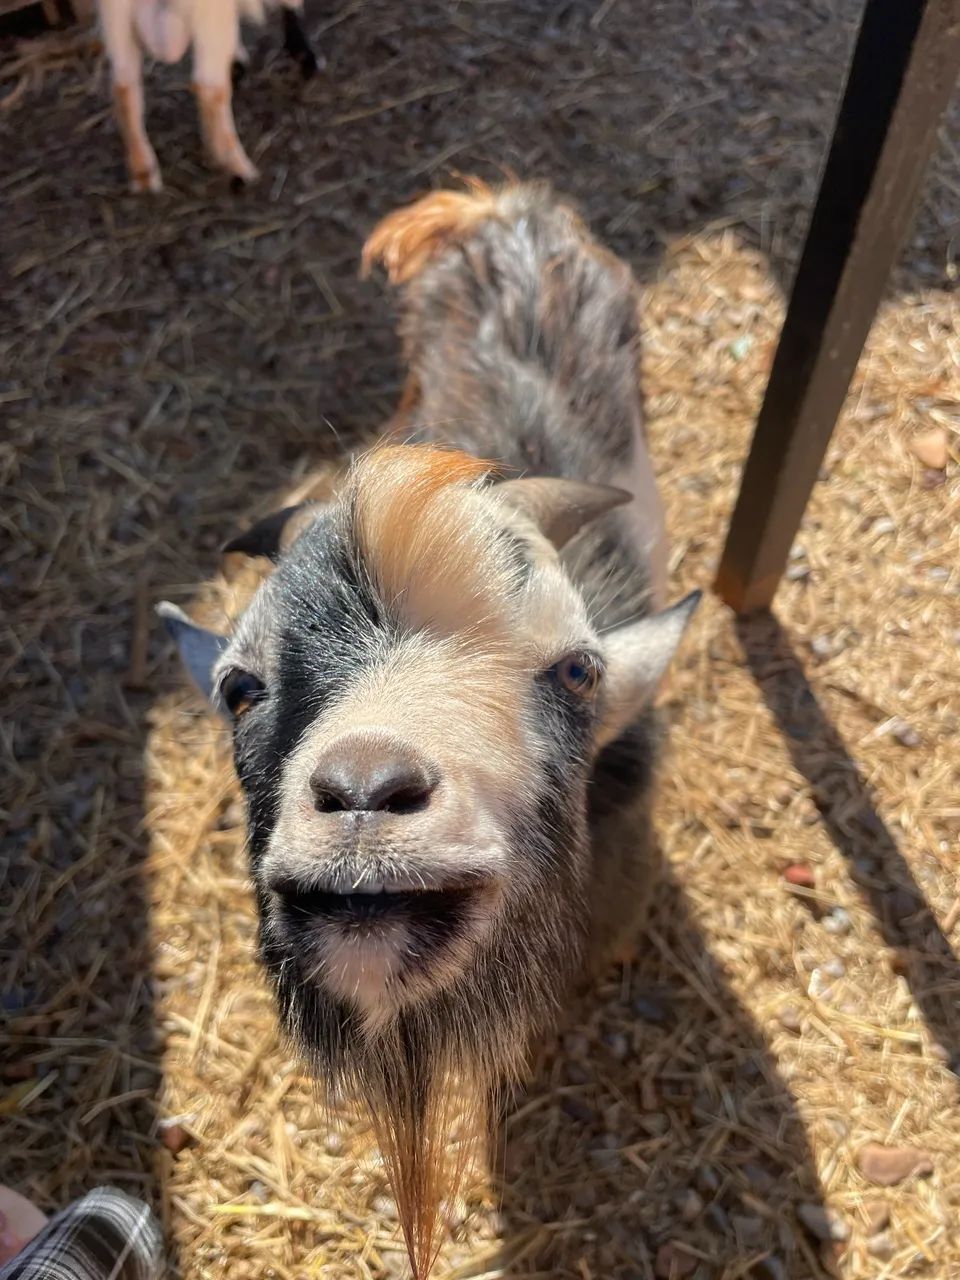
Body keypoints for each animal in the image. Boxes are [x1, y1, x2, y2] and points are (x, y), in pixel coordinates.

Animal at [98, 0, 320, 191]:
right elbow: (292, 3)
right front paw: (304, 55)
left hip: (117, 20)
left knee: (124, 87)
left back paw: (143, 171)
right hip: (210, 16)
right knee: (209, 88)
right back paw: (239, 168)